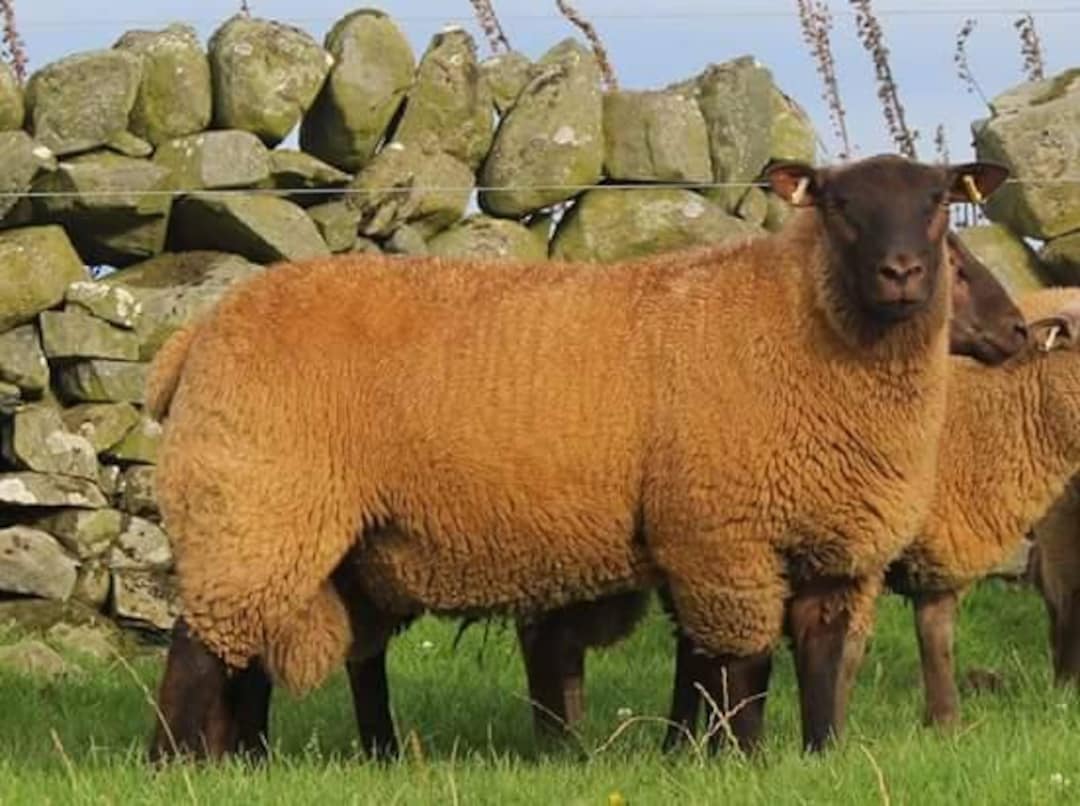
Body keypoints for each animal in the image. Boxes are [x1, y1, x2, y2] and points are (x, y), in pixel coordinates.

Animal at [146, 154, 1008, 761]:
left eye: (937, 202)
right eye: (839, 205)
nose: (904, 274)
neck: (801, 325)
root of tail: (197, 332)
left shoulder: (836, 547)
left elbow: (820, 662)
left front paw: (815, 759)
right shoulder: (720, 538)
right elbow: (740, 668)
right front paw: (737, 761)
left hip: (291, 528)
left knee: (247, 652)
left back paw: (242, 762)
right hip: (253, 503)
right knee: (198, 650)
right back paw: (174, 766)